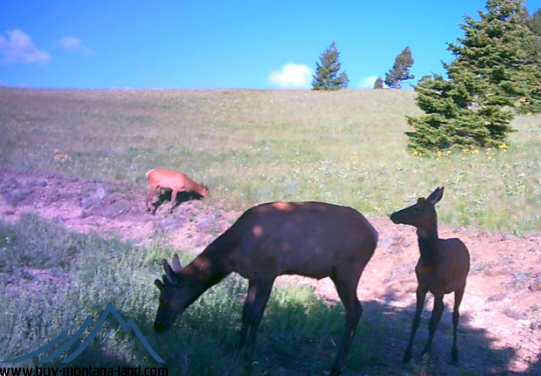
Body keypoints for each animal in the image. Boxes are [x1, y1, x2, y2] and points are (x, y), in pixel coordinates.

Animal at [154, 201, 378, 376]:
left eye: (163, 299)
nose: (157, 326)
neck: (233, 255)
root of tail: (375, 234)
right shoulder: (253, 276)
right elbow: (246, 312)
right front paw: (238, 348)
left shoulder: (268, 272)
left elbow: (256, 314)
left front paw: (248, 357)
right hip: (339, 273)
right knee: (355, 310)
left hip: (348, 269)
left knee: (355, 310)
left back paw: (337, 367)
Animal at [388, 187, 468, 364]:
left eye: (416, 208)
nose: (393, 215)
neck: (432, 260)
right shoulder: (421, 286)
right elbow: (417, 320)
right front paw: (408, 354)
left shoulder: (440, 288)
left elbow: (431, 321)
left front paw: (426, 353)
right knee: (441, 312)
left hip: (461, 284)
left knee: (455, 316)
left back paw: (454, 354)